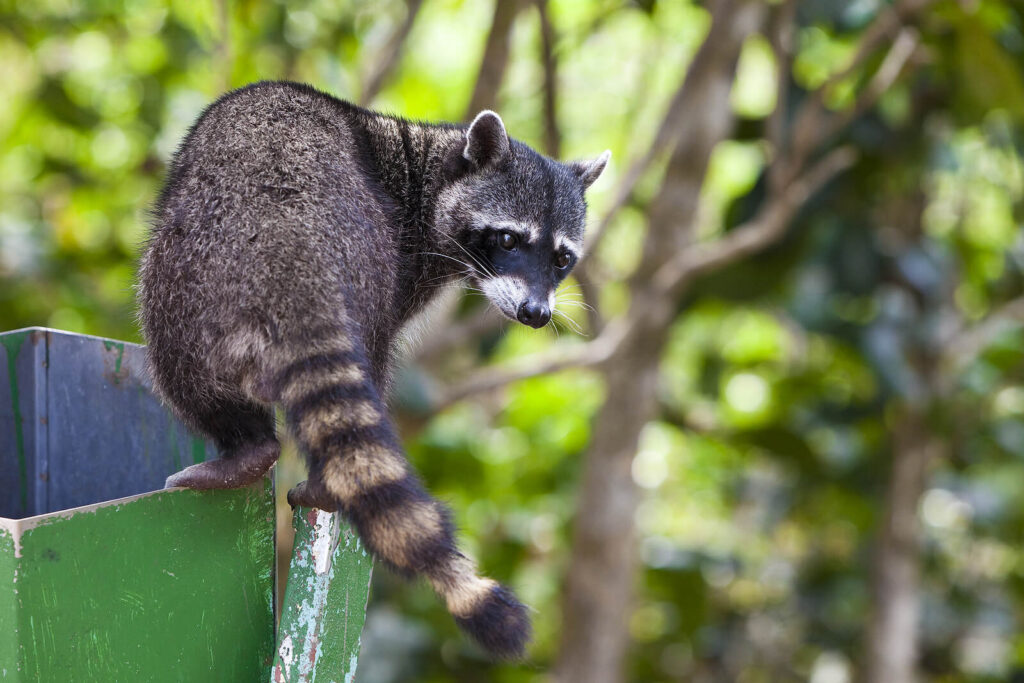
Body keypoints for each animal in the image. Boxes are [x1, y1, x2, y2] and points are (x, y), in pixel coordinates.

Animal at [136, 80, 606, 655]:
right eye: (509, 239)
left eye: (562, 258)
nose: (535, 313)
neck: (428, 165)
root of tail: (288, 240)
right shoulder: (405, 251)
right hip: (335, 270)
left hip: (195, 275)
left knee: (175, 357)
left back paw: (246, 448)